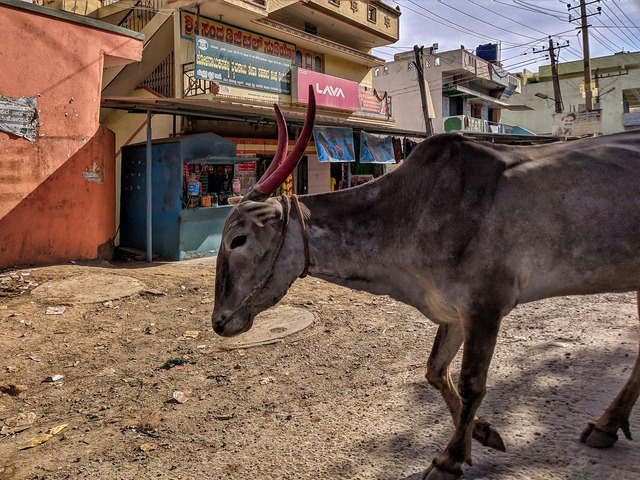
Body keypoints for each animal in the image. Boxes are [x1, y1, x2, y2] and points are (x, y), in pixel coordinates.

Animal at [214, 89, 640, 476]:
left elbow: (472, 384)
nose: (219, 322)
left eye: (238, 239)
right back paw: (606, 426)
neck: (409, 210)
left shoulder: (484, 306)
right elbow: (435, 372)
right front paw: (481, 432)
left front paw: (449, 459)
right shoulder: (451, 310)